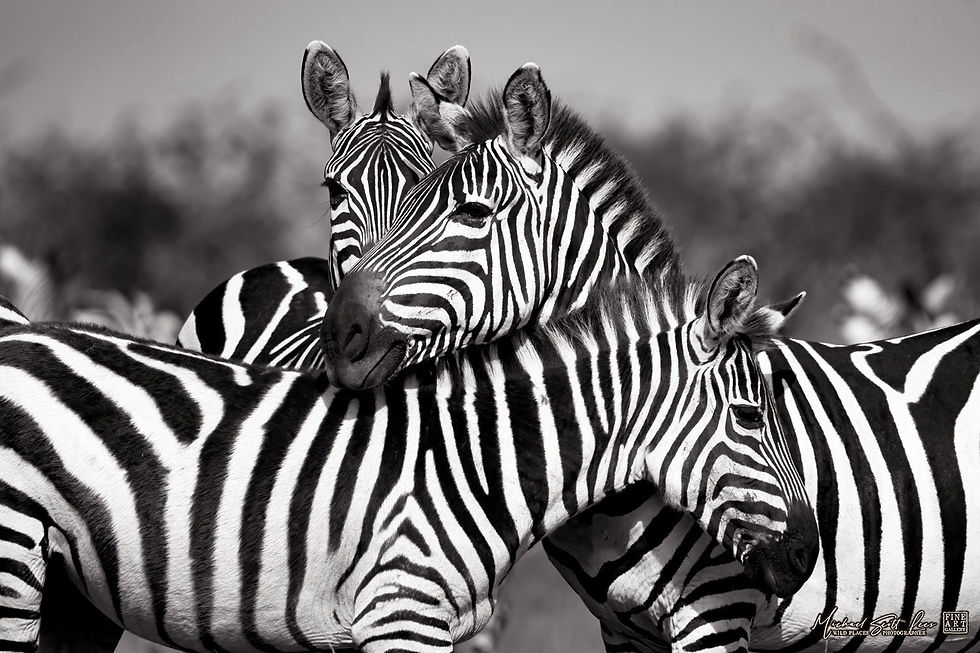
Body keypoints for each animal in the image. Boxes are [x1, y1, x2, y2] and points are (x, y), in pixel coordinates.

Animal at [0, 252, 816, 652]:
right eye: (751, 415)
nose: (808, 556)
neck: (473, 460)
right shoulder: (401, 612)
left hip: (72, 591)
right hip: (14, 562)